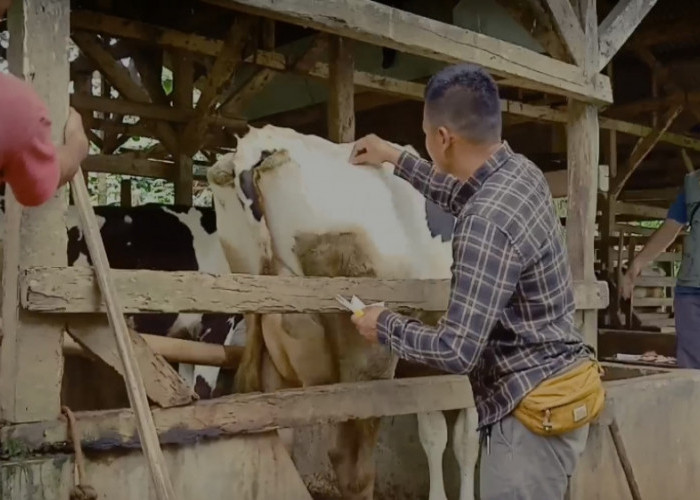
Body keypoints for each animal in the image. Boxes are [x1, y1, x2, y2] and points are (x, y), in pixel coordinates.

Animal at [205, 124, 478, 500]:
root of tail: (261, 143)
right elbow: (466, 440)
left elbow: (434, 434)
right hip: (366, 356)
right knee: (352, 464)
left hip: (269, 339)